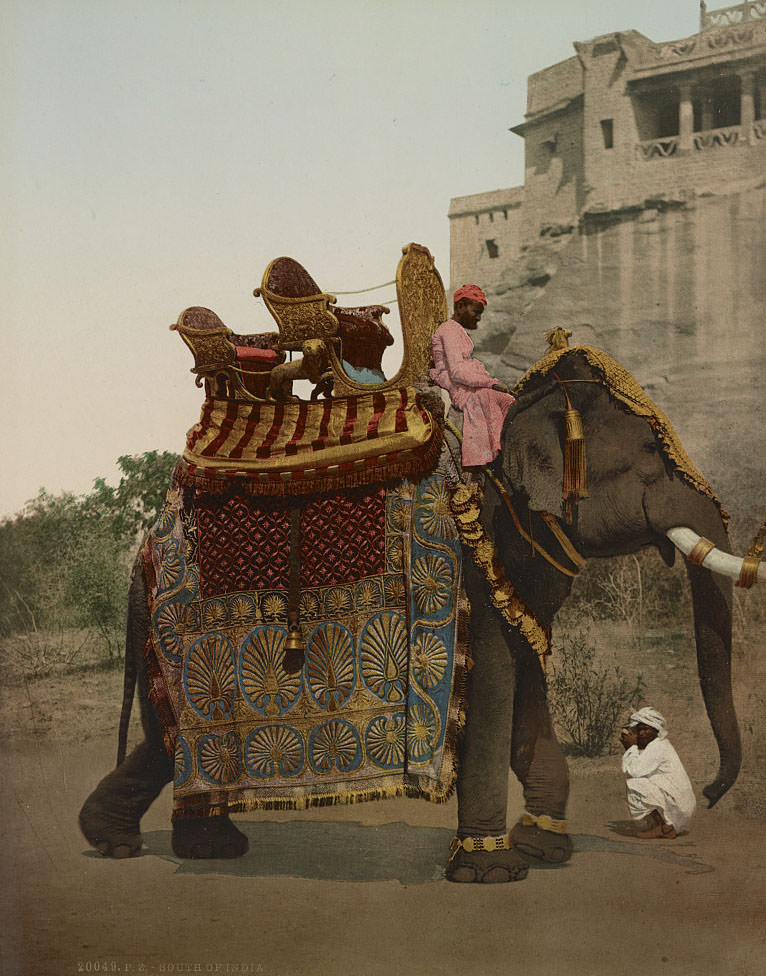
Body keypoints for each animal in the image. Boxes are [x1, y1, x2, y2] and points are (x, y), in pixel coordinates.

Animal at [78, 330, 760, 884]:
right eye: (649, 456)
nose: (709, 793)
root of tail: (147, 539)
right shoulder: (473, 566)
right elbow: (492, 693)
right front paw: (492, 872)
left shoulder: (516, 567)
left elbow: (527, 686)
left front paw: (543, 850)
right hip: (175, 619)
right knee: (173, 734)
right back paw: (144, 846)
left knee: (165, 738)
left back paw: (160, 844)